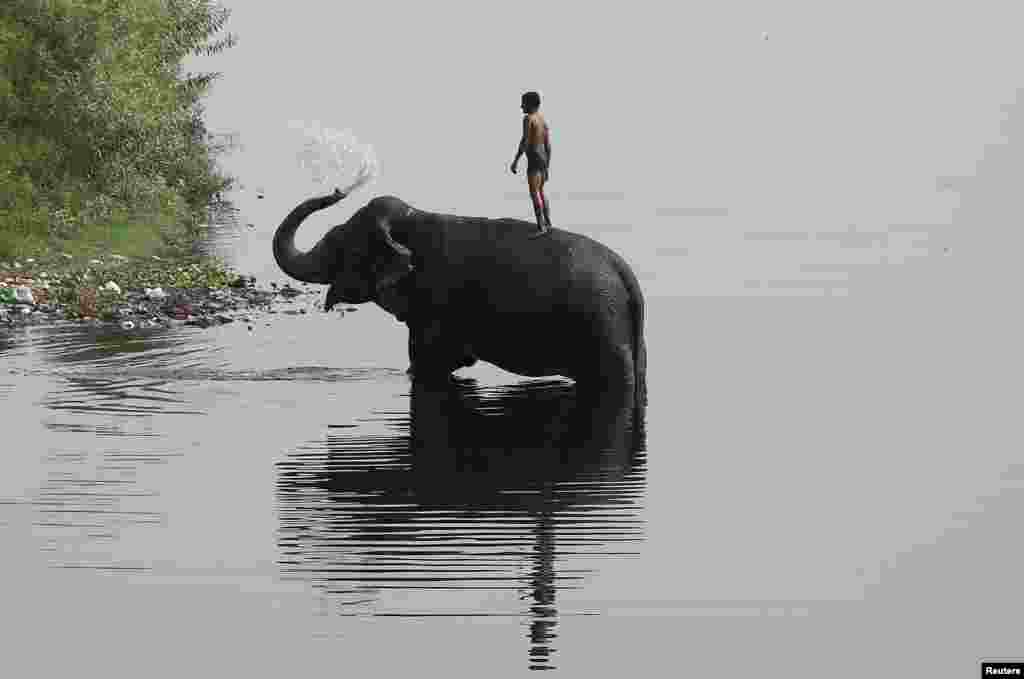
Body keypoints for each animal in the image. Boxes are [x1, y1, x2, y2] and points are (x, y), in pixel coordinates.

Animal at [274, 187, 647, 403]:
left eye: (340, 242)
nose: (336, 192)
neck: (415, 220)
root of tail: (629, 280)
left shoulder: (438, 304)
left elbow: (430, 362)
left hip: (602, 329)